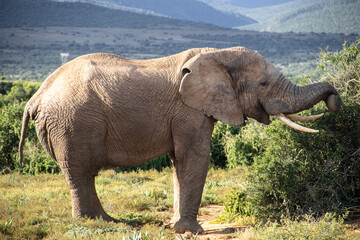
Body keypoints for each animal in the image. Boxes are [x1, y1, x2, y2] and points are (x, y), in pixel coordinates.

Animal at [19, 46, 340, 232]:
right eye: (263, 83)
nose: (335, 100)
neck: (217, 54)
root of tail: (36, 97)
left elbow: (179, 161)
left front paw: (177, 226)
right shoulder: (189, 110)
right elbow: (194, 157)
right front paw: (190, 231)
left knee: (84, 174)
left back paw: (106, 221)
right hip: (72, 123)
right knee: (81, 171)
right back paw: (92, 224)